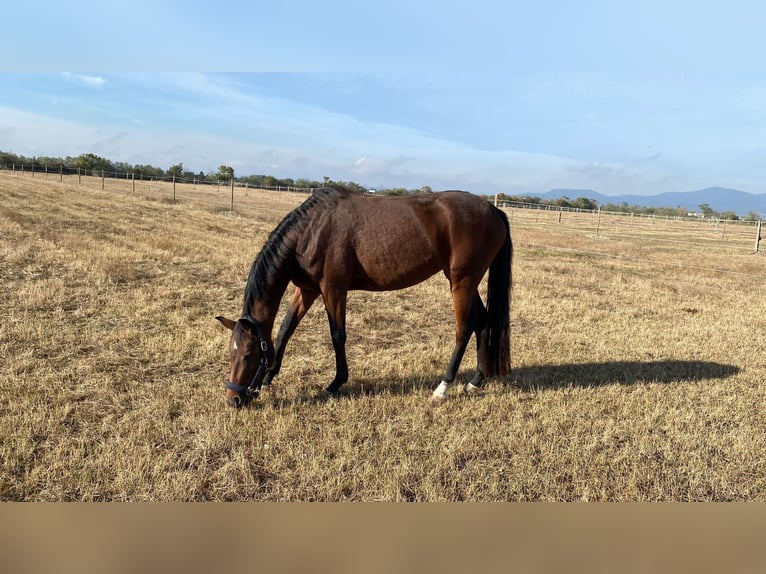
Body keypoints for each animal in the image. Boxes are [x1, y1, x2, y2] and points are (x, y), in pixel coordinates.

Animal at [216, 187, 512, 408]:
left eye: (250, 353)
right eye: (231, 352)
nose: (233, 399)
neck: (311, 231)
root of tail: (493, 210)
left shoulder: (333, 289)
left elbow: (337, 335)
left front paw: (335, 384)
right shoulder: (307, 289)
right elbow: (286, 329)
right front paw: (269, 377)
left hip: (462, 281)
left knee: (464, 328)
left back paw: (443, 387)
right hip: (465, 282)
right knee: (482, 322)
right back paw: (475, 381)